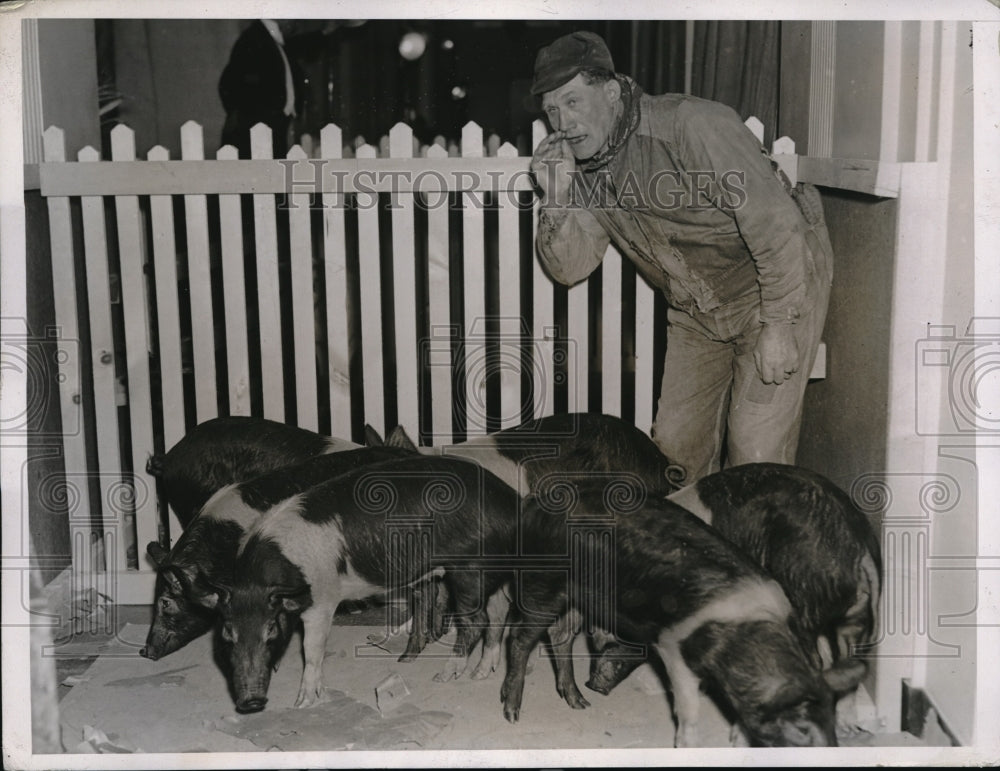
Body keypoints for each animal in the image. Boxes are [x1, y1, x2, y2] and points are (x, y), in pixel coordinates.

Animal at [199, 456, 520, 716]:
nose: (251, 702)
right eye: (227, 633)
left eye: (270, 629)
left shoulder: (323, 600)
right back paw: (479, 672)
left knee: (477, 620)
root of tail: (509, 500)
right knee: (499, 610)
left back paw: (446, 674)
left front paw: (302, 703)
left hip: (469, 568)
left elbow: (312, 649)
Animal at [504, 482, 864, 748]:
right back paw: (512, 713)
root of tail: (534, 501)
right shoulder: (673, 647)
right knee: (521, 638)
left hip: (576, 594)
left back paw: (579, 702)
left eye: (830, 720)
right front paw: (686, 745)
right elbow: (688, 708)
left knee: (560, 636)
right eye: (801, 728)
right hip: (543, 578)